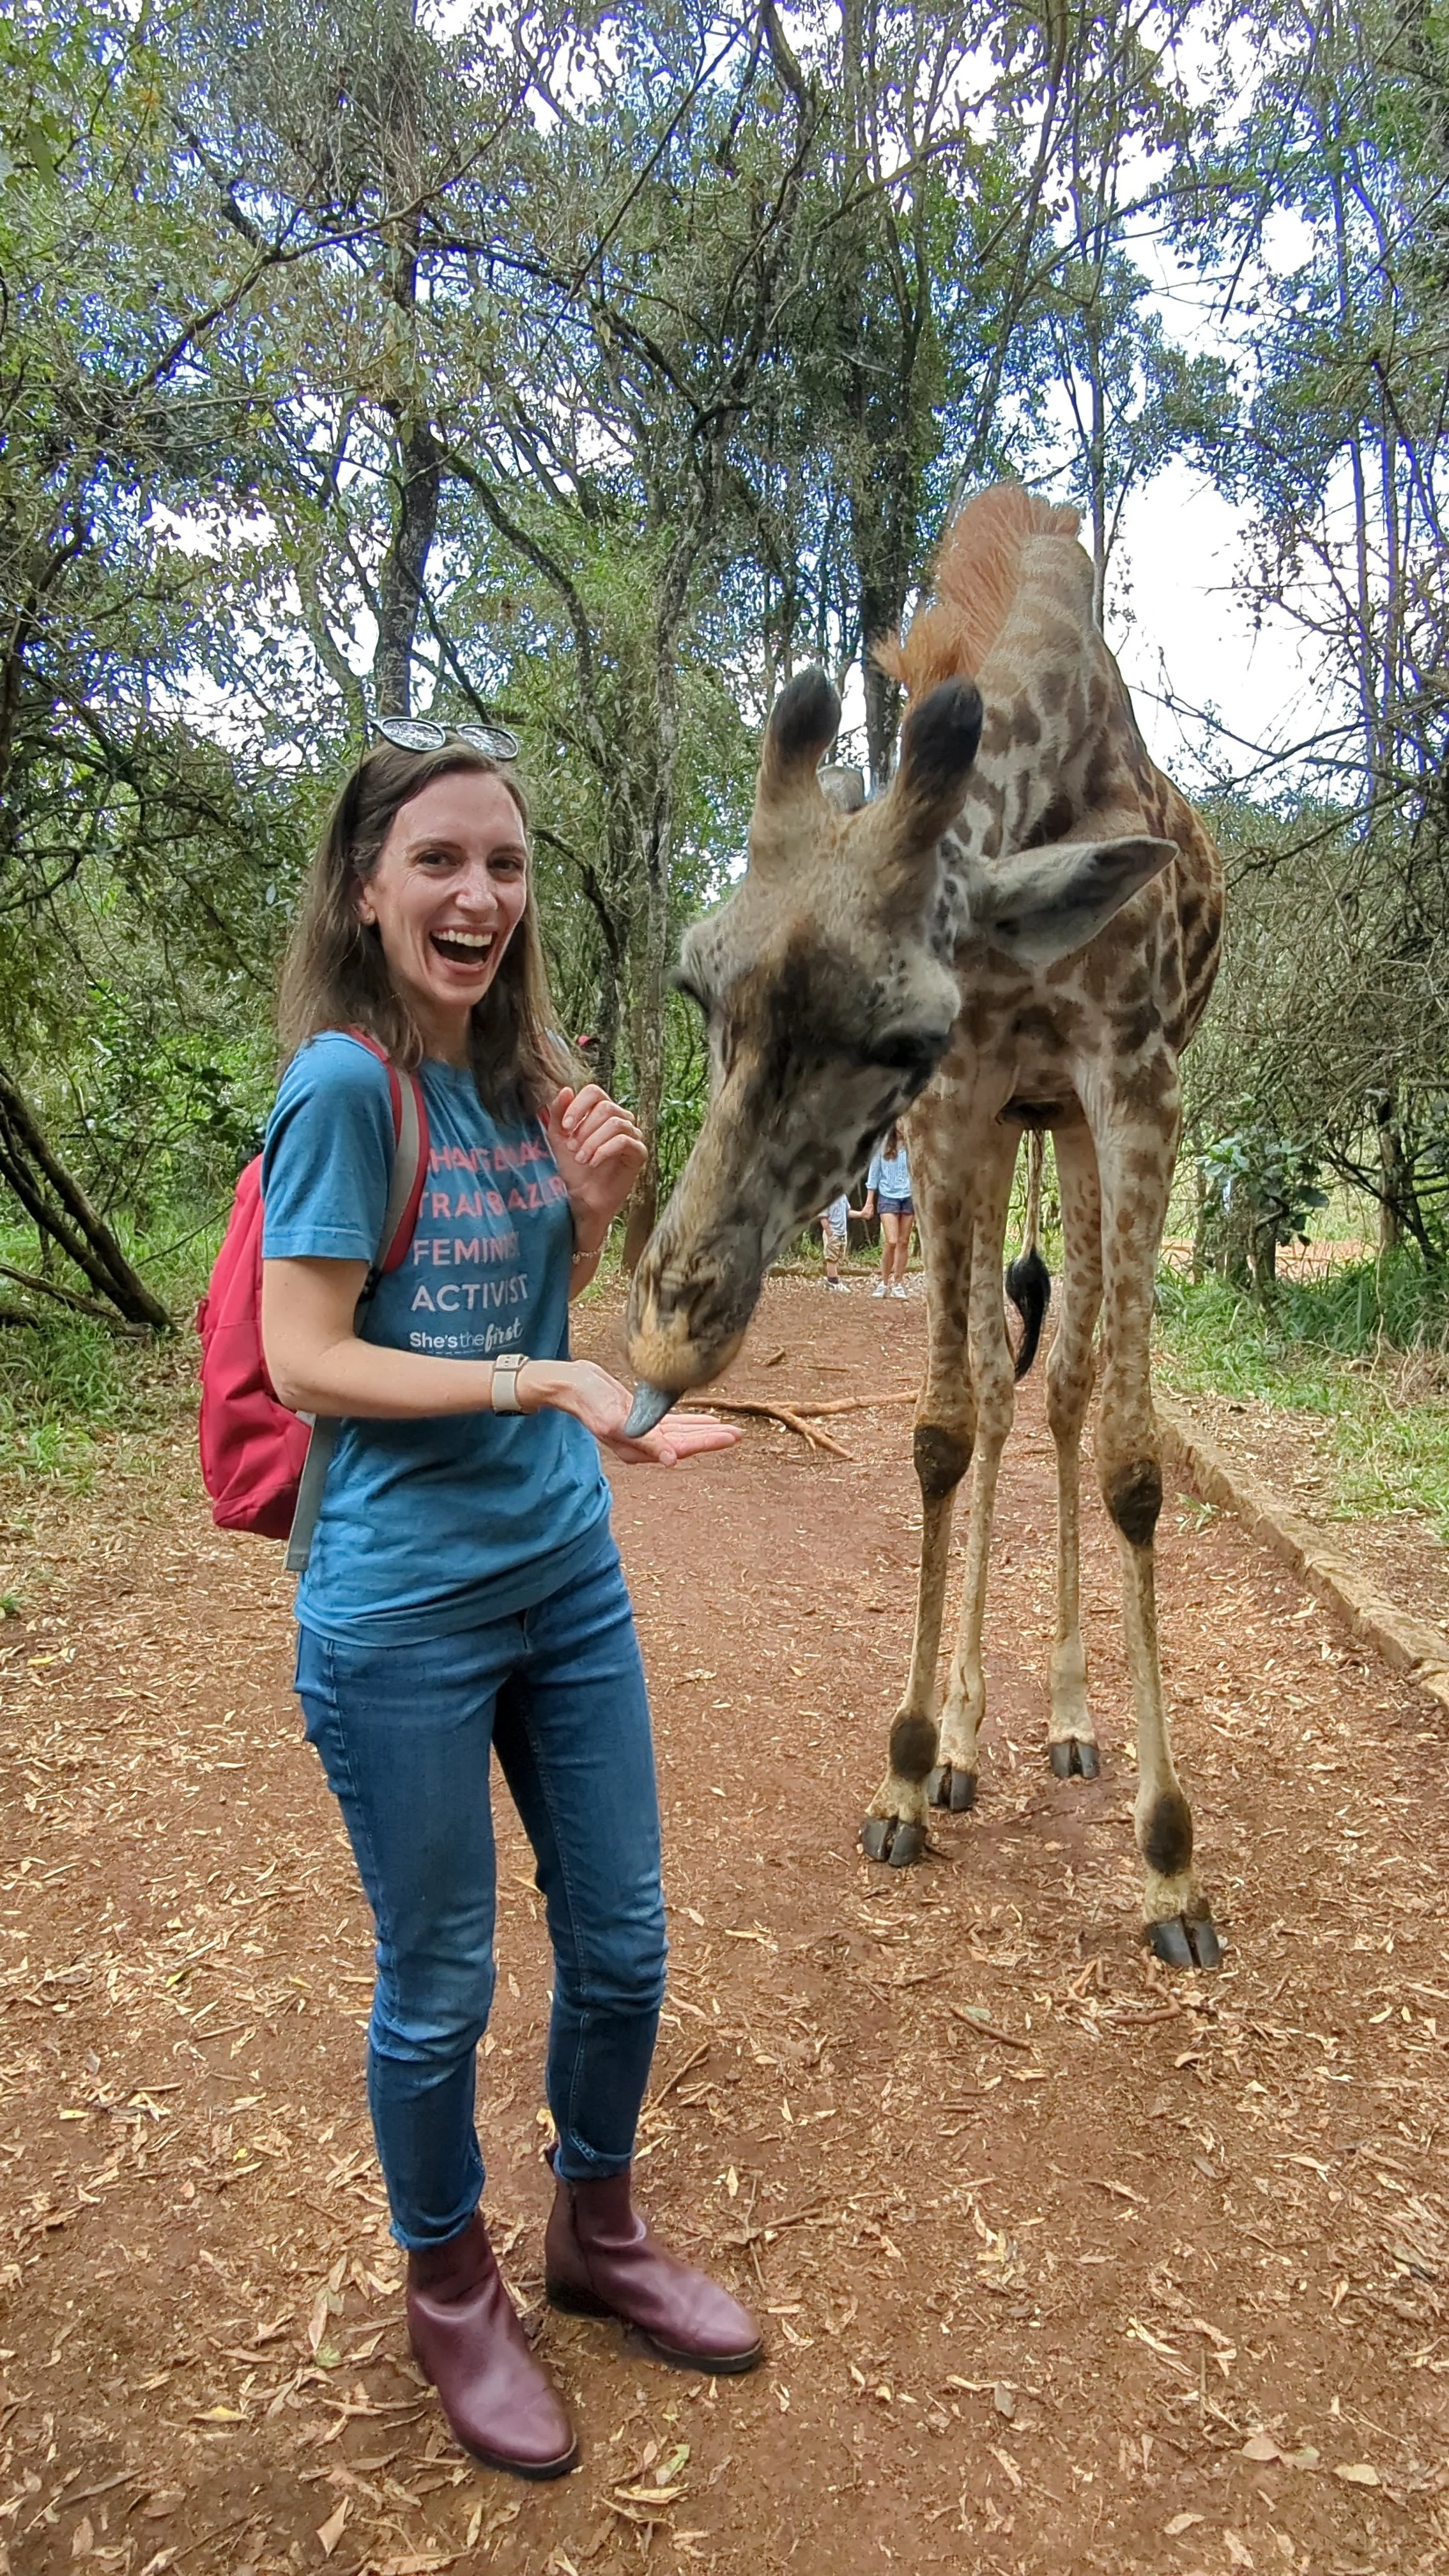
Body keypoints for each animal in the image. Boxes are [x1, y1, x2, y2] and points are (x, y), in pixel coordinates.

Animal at [625, 486, 1225, 1967]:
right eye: (696, 984)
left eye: (897, 1029)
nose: (665, 1345)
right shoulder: (962, 1102)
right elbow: (945, 1429)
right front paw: (904, 1770)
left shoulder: (1133, 1082)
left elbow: (1133, 1462)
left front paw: (1170, 1862)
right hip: (1014, 1120)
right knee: (1012, 1396)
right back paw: (966, 1737)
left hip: (1071, 1127)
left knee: (1063, 1391)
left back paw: (1069, 1724)